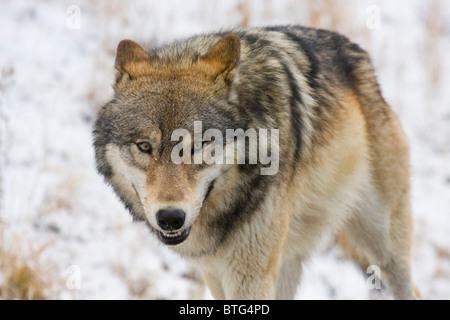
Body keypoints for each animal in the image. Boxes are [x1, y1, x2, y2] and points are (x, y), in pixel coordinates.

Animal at [94, 25, 422, 300]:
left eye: (199, 145)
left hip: (386, 252)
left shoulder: (249, 274)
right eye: (144, 146)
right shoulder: (214, 271)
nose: (171, 217)